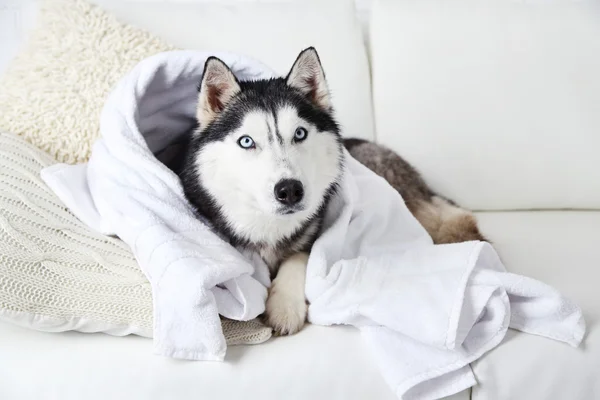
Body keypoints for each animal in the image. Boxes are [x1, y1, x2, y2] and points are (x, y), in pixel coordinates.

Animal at [171, 46, 486, 334]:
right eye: (246, 141)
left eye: (299, 133)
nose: (290, 190)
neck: (270, 226)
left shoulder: (315, 234)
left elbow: (298, 257)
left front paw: (285, 304)